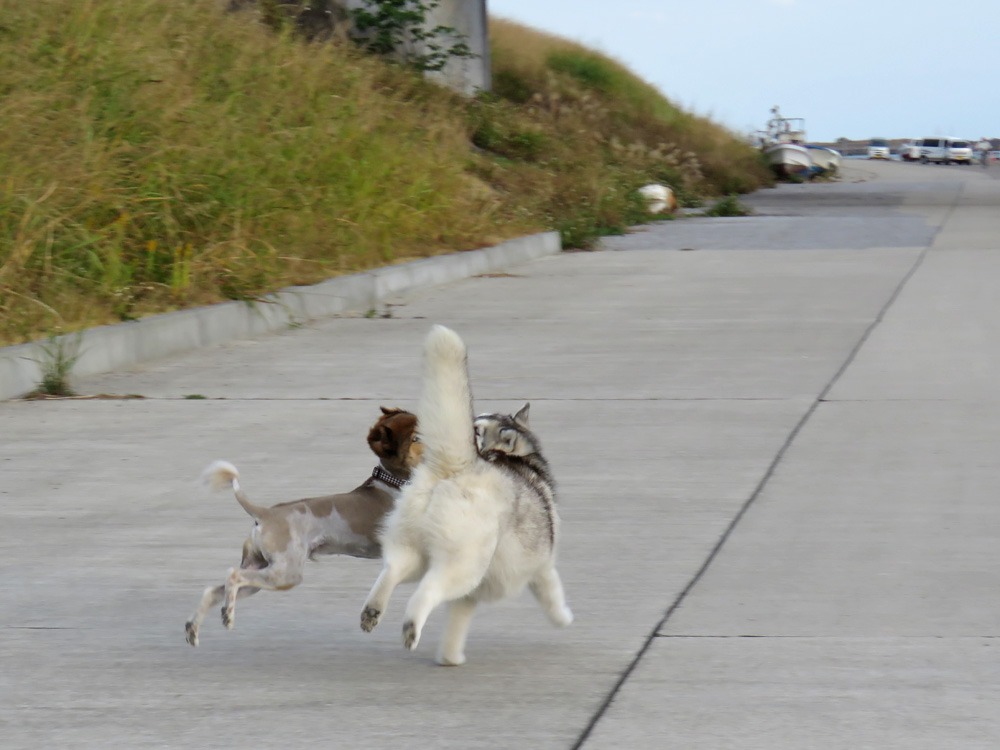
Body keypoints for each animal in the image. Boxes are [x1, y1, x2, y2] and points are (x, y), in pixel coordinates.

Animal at [186, 408, 420, 648]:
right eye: (416, 438)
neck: (394, 484)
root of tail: (264, 513)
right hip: (285, 573)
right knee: (232, 575)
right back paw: (227, 615)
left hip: (261, 572)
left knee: (213, 591)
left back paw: (194, 628)